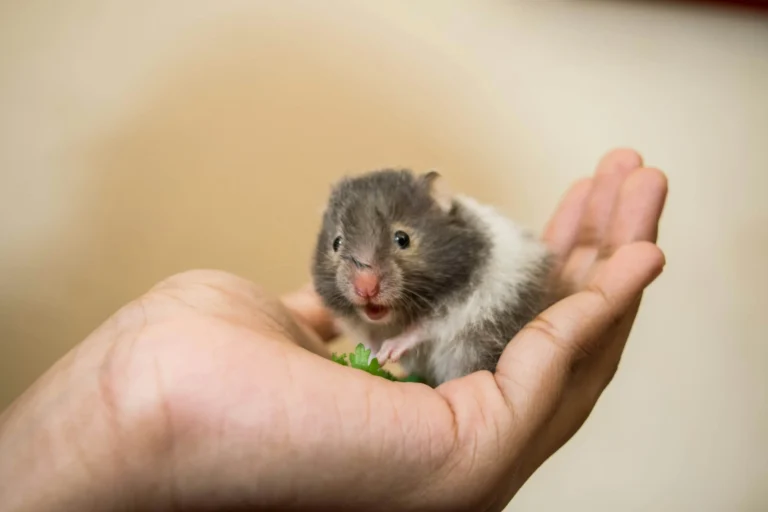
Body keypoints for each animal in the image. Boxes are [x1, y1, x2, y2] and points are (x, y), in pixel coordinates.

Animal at [311, 168, 554, 387]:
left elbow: (422, 328)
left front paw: (389, 351)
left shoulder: (458, 304)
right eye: (336, 243)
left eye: (402, 238)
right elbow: (369, 341)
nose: (365, 288)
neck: (395, 319)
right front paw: (373, 357)